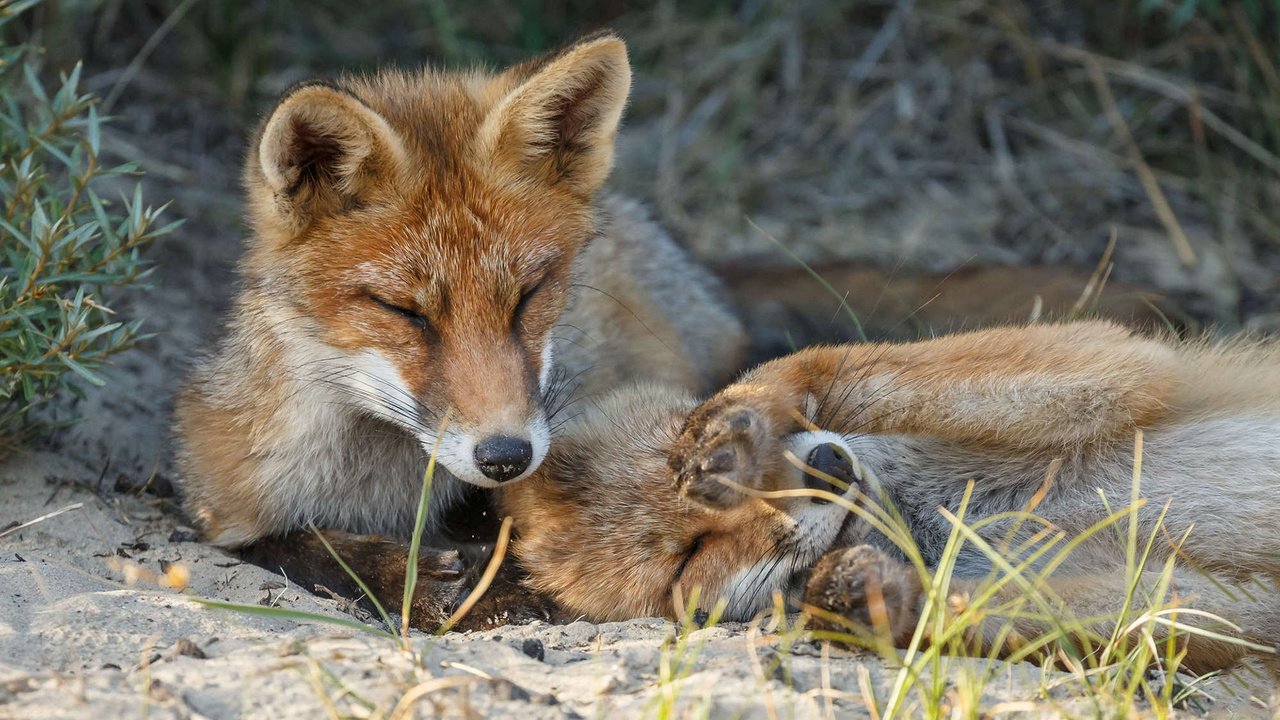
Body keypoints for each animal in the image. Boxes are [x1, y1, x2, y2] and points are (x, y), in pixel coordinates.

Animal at [499, 320, 1280, 671]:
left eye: (672, 440)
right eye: (690, 559)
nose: (825, 470)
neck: (941, 517)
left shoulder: (1119, 360)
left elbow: (826, 366)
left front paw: (741, 431)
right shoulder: (1224, 605)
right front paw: (872, 597)